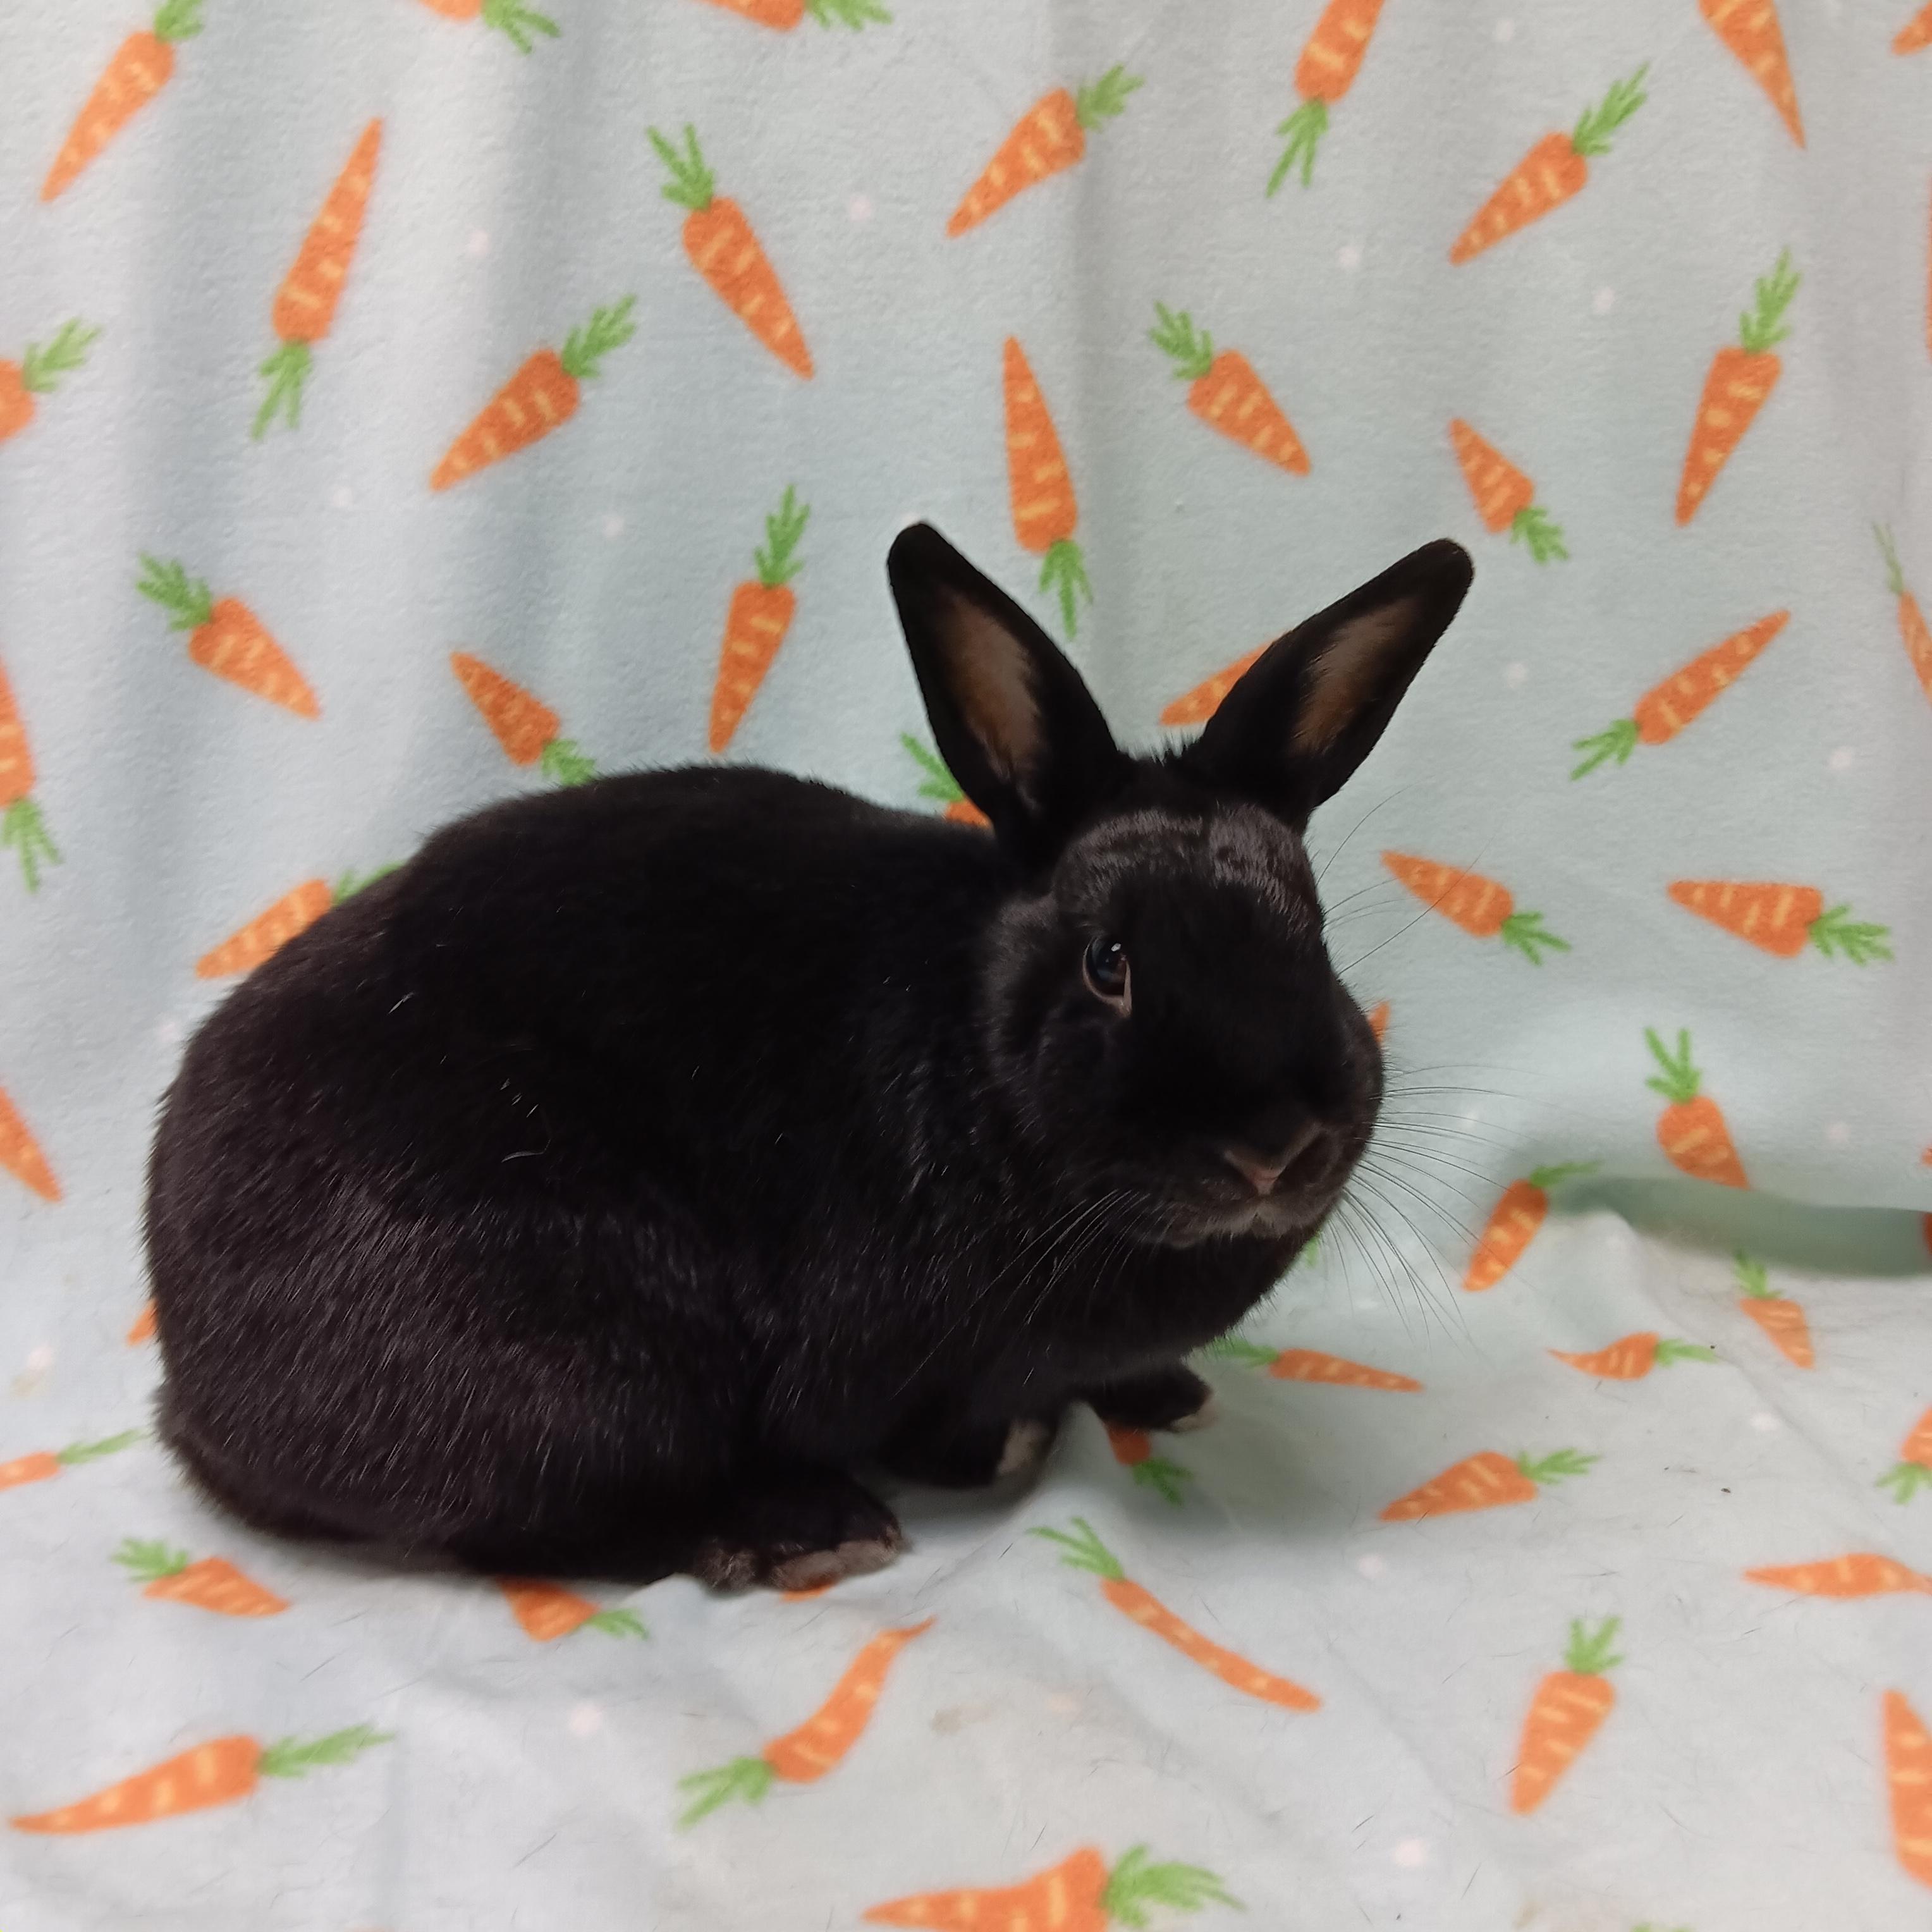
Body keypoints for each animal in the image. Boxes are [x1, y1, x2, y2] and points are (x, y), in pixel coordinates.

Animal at [145, 524, 1473, 1592]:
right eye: (1110, 964)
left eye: (1313, 931)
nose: (1276, 1146)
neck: (977, 1054)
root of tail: (189, 1387)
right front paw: (1010, 1447)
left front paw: (1169, 1397)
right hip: (584, 1362)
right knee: (546, 1523)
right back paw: (807, 1532)